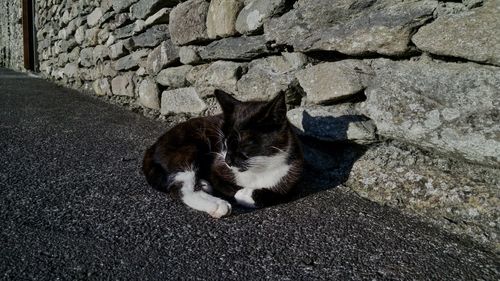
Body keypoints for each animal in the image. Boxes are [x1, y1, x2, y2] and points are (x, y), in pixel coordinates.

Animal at [143, 89, 302, 217]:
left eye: (244, 144)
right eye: (224, 142)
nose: (228, 160)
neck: (259, 168)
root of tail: (152, 146)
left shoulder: (293, 172)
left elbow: (281, 193)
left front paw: (248, 193)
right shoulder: (215, 166)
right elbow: (223, 184)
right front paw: (241, 193)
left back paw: (203, 184)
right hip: (190, 146)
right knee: (181, 188)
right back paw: (217, 204)